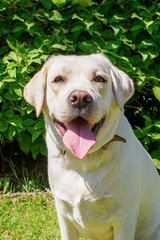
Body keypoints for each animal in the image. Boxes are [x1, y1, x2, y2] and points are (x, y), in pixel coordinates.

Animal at [23, 54, 160, 240]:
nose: (80, 98)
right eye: (58, 79)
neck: (84, 160)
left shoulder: (125, 217)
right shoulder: (64, 215)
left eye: (99, 79)